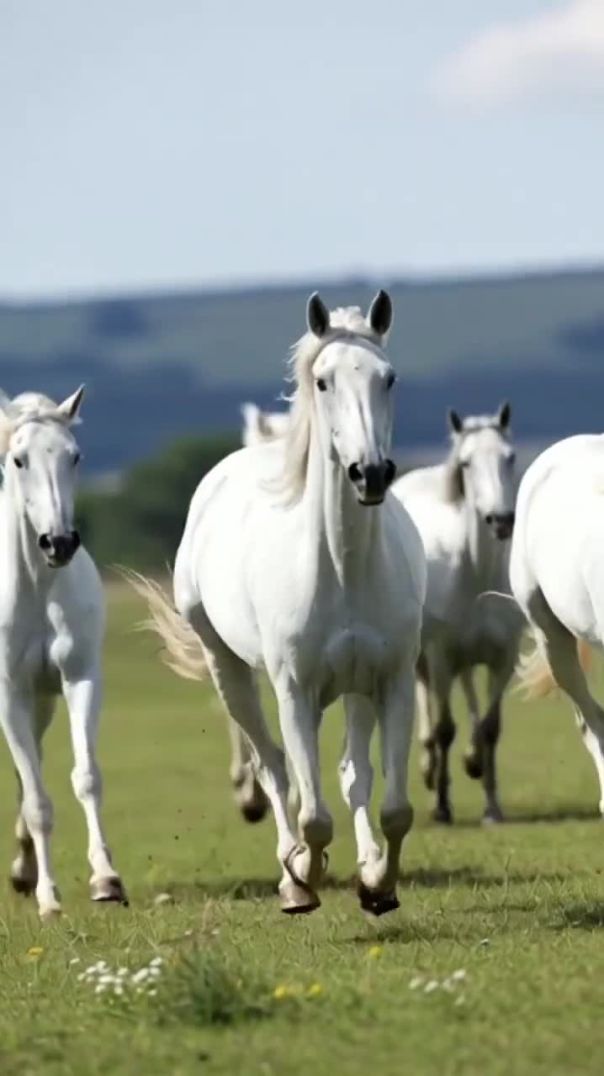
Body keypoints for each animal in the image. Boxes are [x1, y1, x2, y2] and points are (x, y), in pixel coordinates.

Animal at [134, 290, 426, 916]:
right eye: (323, 380)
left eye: (388, 378)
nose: (370, 472)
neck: (341, 567)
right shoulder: (295, 690)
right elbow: (312, 814)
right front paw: (302, 878)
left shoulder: (390, 681)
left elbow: (392, 807)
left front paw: (377, 885)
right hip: (232, 671)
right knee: (274, 769)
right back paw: (292, 874)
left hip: (355, 689)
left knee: (351, 773)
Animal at [392, 405, 523, 824]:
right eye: (466, 463)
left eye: (510, 457)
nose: (501, 520)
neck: (477, 577)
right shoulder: (441, 657)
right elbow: (444, 729)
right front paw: (442, 805)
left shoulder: (503, 657)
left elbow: (490, 727)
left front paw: (491, 803)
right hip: (424, 658)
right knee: (426, 711)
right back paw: (428, 769)